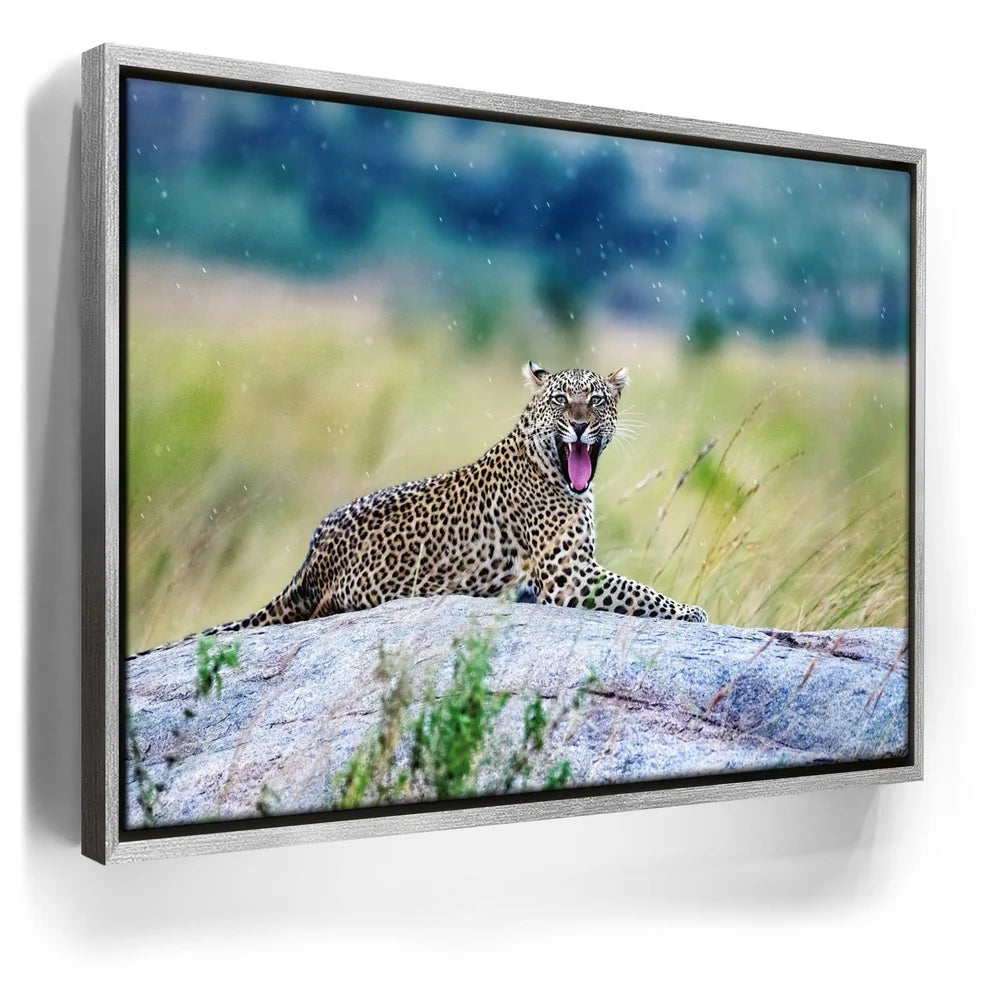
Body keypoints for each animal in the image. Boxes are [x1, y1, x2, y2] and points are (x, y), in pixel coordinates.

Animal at [135, 361, 706, 655]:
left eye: (598, 400)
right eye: (561, 401)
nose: (582, 426)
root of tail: (311, 558)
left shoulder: (575, 570)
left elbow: (637, 589)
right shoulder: (570, 575)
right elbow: (640, 592)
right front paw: (693, 612)